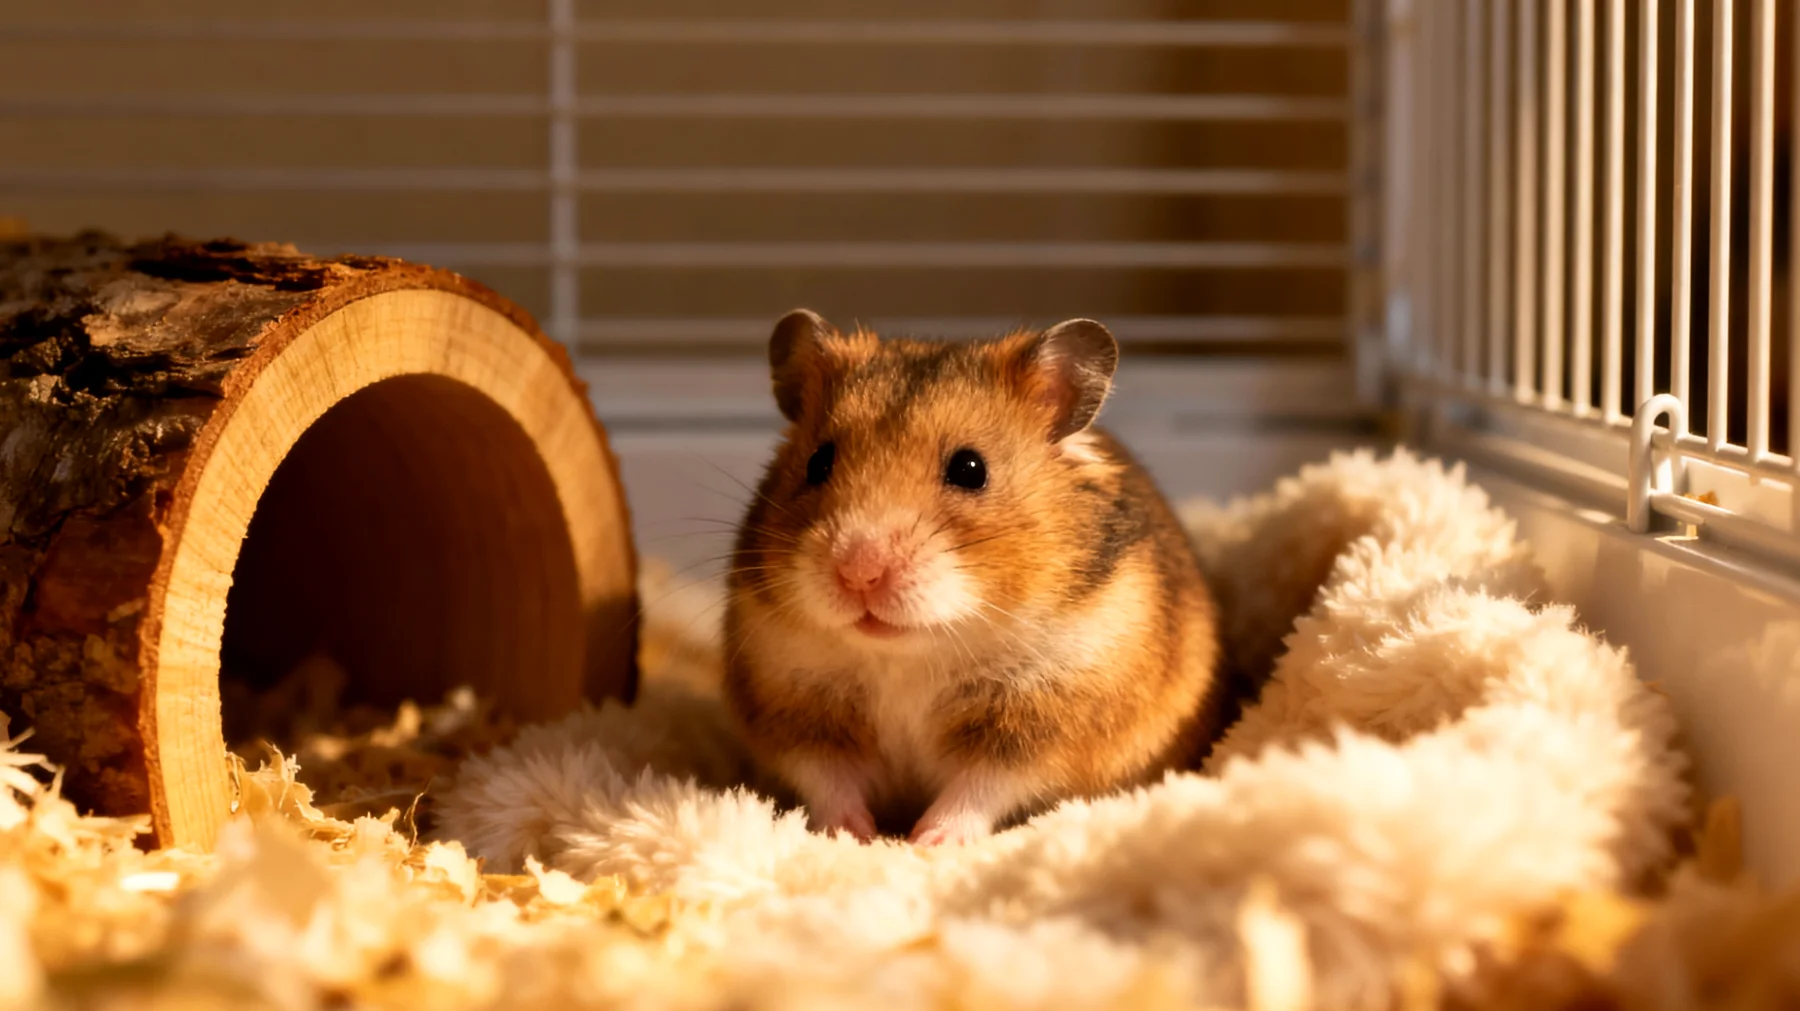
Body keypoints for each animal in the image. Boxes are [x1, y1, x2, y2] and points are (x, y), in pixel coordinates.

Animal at [723, 309, 1226, 846]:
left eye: (970, 468)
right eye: (818, 462)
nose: (859, 572)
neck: (912, 654)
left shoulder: (1040, 723)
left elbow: (979, 787)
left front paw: (927, 841)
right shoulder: (797, 713)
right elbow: (830, 780)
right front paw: (852, 836)